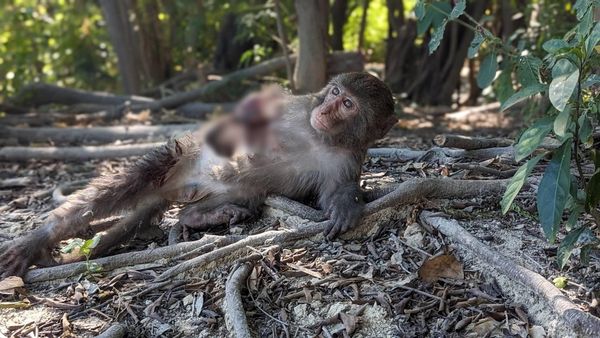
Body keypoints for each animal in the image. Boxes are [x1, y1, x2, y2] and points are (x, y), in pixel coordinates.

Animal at [0, 73, 398, 278]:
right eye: (335, 92)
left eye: (348, 104)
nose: (327, 109)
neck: (319, 135)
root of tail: (179, 186)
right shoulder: (297, 106)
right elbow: (249, 115)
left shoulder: (347, 160)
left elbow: (335, 194)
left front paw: (346, 206)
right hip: (181, 159)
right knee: (136, 179)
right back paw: (38, 239)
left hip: (223, 190)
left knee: (241, 195)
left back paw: (205, 216)